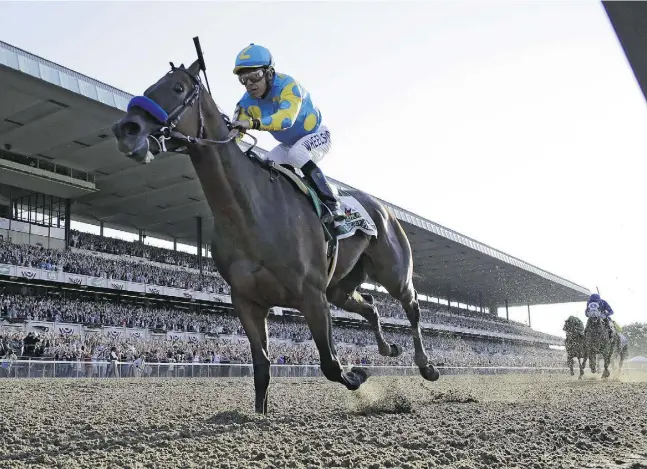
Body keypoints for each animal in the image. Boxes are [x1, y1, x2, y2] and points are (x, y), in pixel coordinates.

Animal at [111, 59, 440, 414]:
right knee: (370, 305)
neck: (250, 213)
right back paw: (388, 348)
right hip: (340, 286)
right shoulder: (247, 301)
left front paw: (358, 375)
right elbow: (262, 367)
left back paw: (426, 365)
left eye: (177, 88)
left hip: (393, 272)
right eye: (149, 87)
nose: (126, 129)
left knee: (411, 305)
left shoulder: (312, 296)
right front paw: (260, 414)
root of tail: (382, 207)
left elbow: (330, 364)